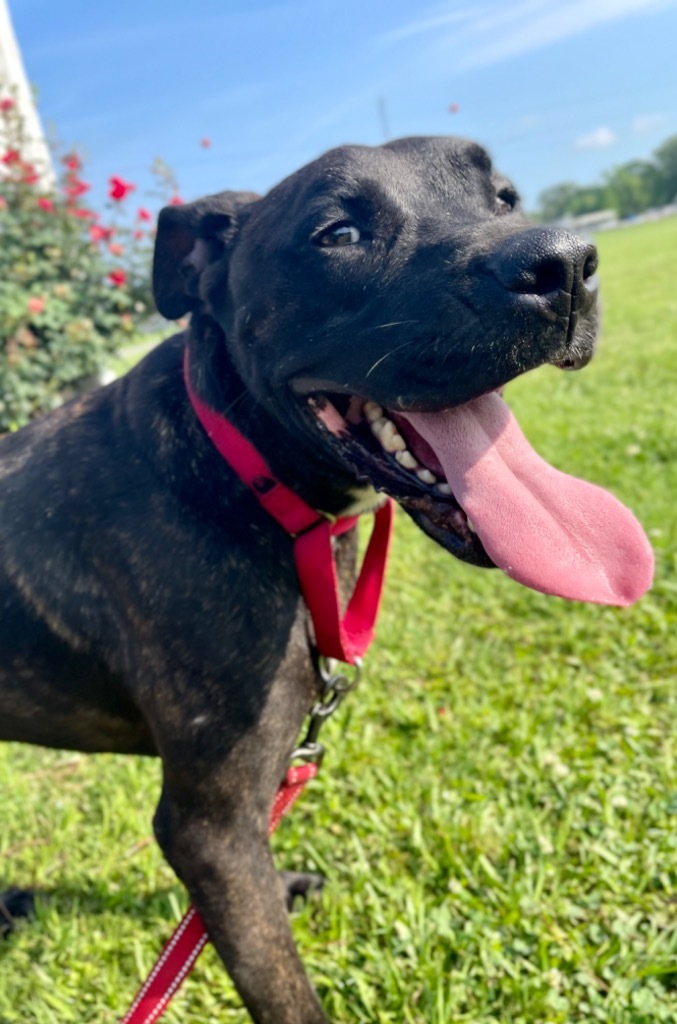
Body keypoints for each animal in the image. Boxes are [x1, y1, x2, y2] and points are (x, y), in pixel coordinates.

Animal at [1, 138, 655, 1024]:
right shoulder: (207, 823)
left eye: (503, 195)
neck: (240, 470)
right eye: (337, 233)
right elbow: (280, 986)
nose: (563, 264)